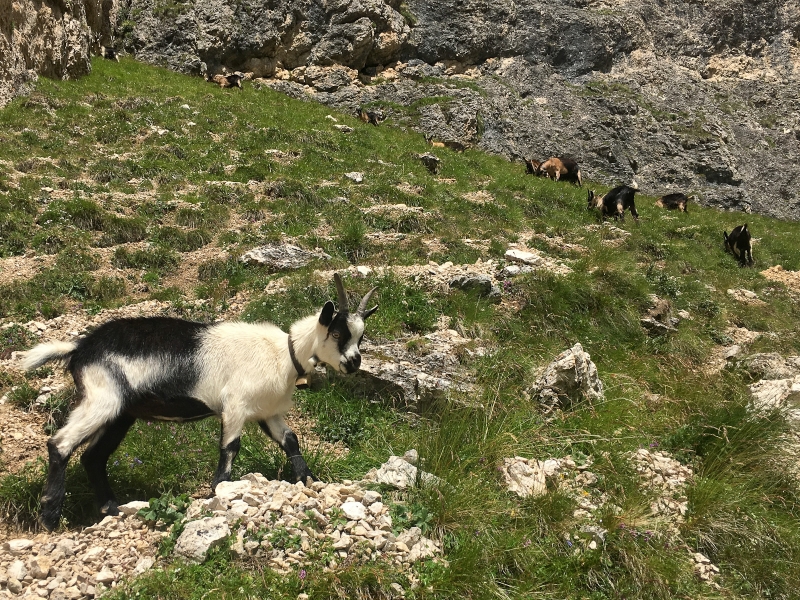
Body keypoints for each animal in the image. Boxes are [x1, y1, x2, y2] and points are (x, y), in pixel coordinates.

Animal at [21, 274, 378, 528]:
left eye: (361, 336)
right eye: (337, 333)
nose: (354, 362)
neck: (284, 353)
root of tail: (79, 349)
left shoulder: (267, 412)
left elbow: (291, 440)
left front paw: (307, 480)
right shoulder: (235, 405)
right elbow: (230, 447)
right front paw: (218, 490)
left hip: (121, 413)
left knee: (93, 457)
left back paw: (111, 508)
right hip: (102, 399)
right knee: (61, 444)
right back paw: (50, 518)